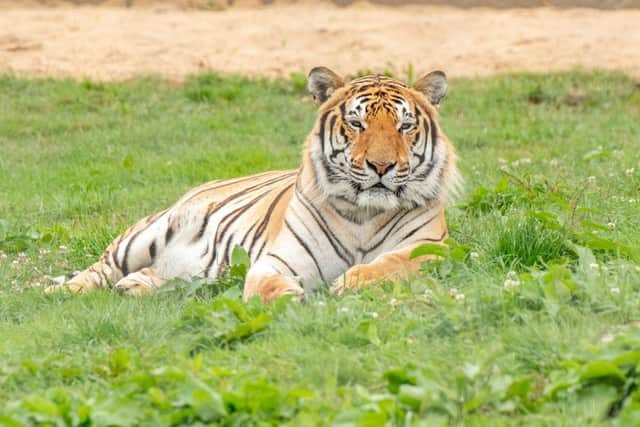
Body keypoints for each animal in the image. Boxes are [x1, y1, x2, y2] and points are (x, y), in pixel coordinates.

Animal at [45, 66, 460, 302]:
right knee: (98, 270)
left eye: (404, 126)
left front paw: (351, 283)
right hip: (143, 235)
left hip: (195, 272)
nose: (381, 166)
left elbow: (391, 265)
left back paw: (136, 286)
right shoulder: (278, 258)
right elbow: (263, 284)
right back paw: (57, 291)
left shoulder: (431, 247)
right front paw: (285, 297)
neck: (365, 213)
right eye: (356, 123)